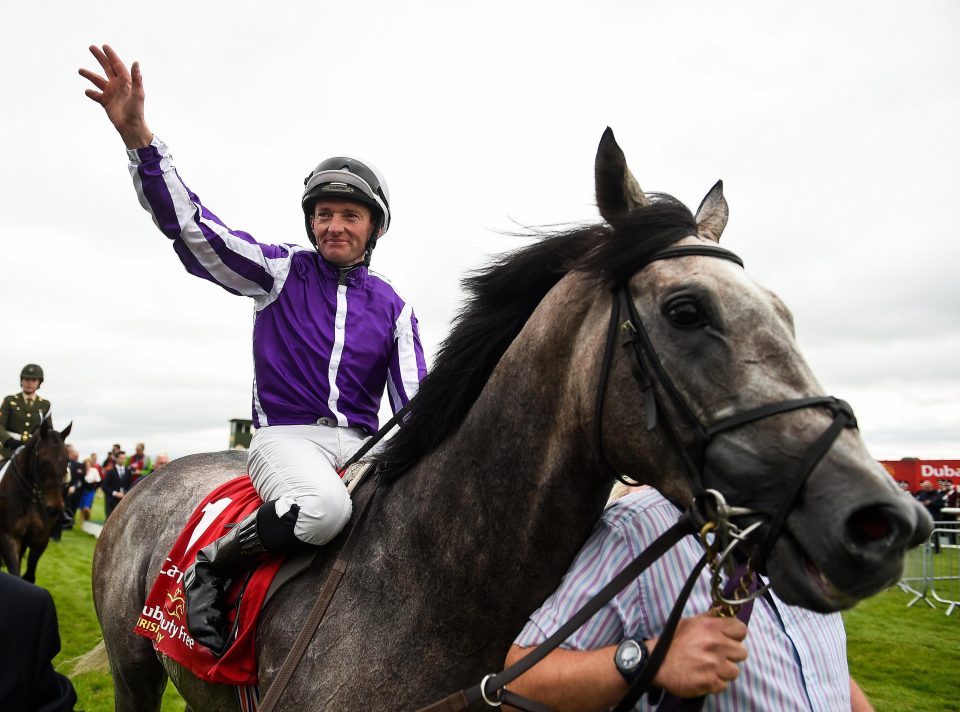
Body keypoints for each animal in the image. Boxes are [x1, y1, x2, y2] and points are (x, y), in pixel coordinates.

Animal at [0, 420, 71, 580]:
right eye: (43, 461)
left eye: (66, 461)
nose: (55, 508)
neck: (30, 498)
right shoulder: (8, 538)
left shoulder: (40, 541)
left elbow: (29, 576)